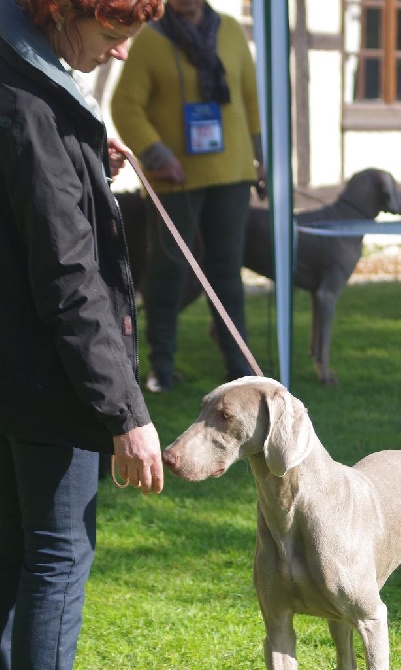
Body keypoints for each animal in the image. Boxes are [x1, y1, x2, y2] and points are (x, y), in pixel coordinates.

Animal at [117, 167, 400, 386]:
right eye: (396, 183)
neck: (345, 218)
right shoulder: (328, 293)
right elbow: (326, 343)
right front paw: (326, 377)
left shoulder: (316, 295)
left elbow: (317, 339)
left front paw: (318, 366)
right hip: (189, 282)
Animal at [162, 376, 400, 668]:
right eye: (201, 409)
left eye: (226, 415)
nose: (167, 457)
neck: (289, 510)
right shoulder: (277, 623)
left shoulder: (371, 619)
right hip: (336, 618)